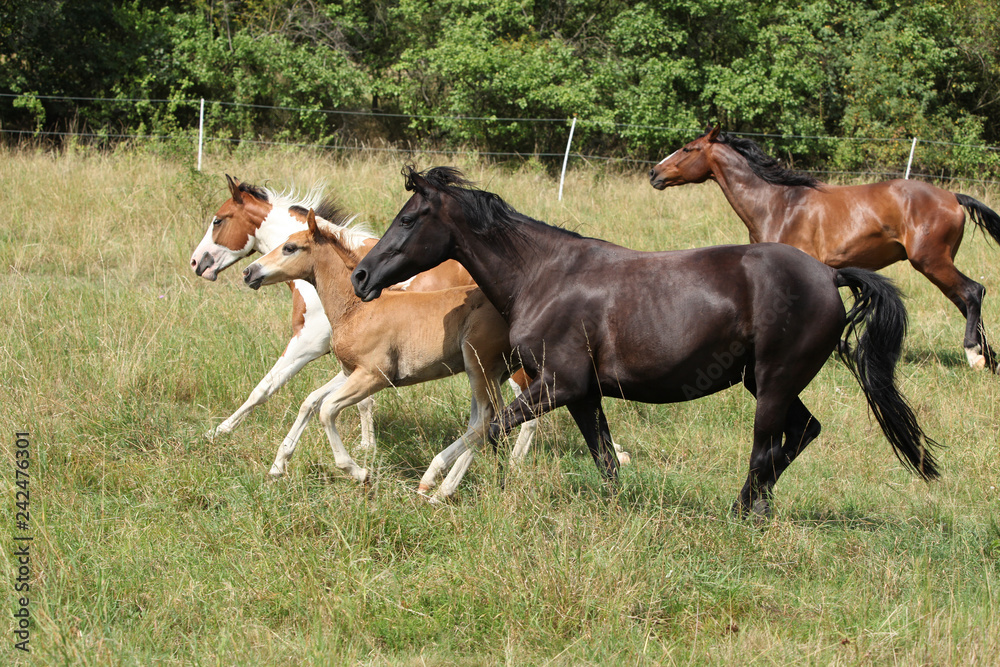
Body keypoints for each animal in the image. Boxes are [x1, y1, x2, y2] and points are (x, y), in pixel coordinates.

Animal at [351, 166, 941, 517]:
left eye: (409, 218)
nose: (361, 276)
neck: (544, 275)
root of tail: (829, 275)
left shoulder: (559, 386)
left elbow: (491, 430)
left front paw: (443, 488)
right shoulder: (584, 394)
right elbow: (605, 461)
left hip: (772, 385)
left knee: (765, 449)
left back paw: (742, 514)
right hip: (764, 382)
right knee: (802, 433)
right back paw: (758, 509)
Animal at [648, 124, 1000, 373]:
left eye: (688, 148)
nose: (654, 173)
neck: (779, 204)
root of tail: (953, 197)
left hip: (931, 261)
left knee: (972, 292)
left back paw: (974, 354)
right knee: (964, 299)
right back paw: (990, 359)